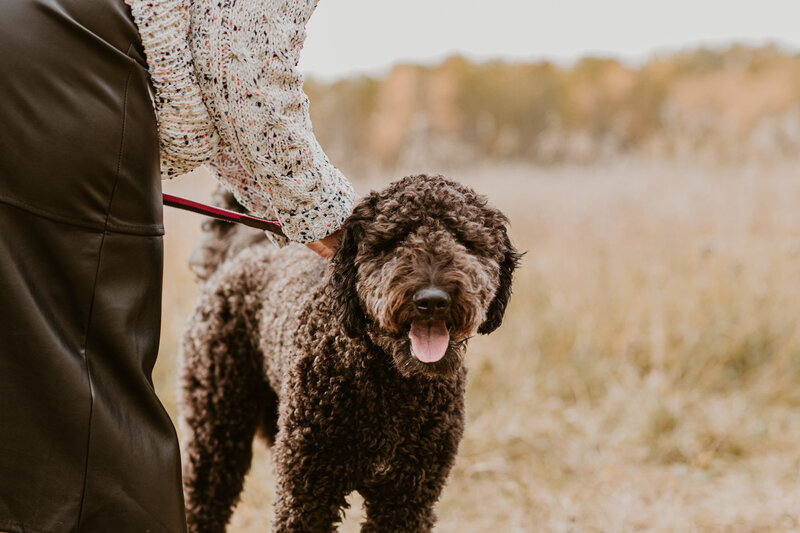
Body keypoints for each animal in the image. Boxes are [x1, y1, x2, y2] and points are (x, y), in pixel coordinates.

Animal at [180, 175, 520, 532]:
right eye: (393, 240)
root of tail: (242, 250)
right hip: (215, 430)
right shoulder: (306, 493)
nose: (432, 299)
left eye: (465, 240)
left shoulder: (407, 498)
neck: (391, 384)